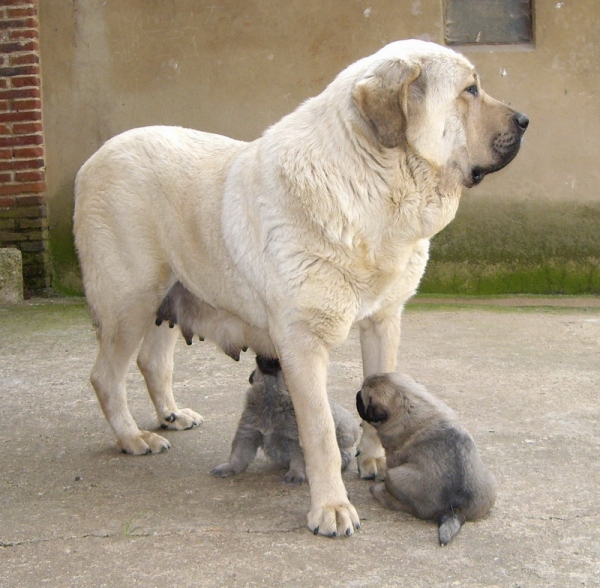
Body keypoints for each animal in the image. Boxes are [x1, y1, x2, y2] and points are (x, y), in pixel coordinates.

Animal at [211, 356, 360, 484]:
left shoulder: (295, 441)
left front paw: (295, 474)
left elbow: (298, 459)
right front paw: (229, 467)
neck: (271, 398)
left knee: (344, 454)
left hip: (343, 434)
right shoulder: (247, 433)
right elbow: (238, 455)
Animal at [356, 374, 496, 544]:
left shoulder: (393, 457)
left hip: (396, 475)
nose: (356, 394)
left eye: (363, 398)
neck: (411, 402)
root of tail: (455, 509)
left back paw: (379, 490)